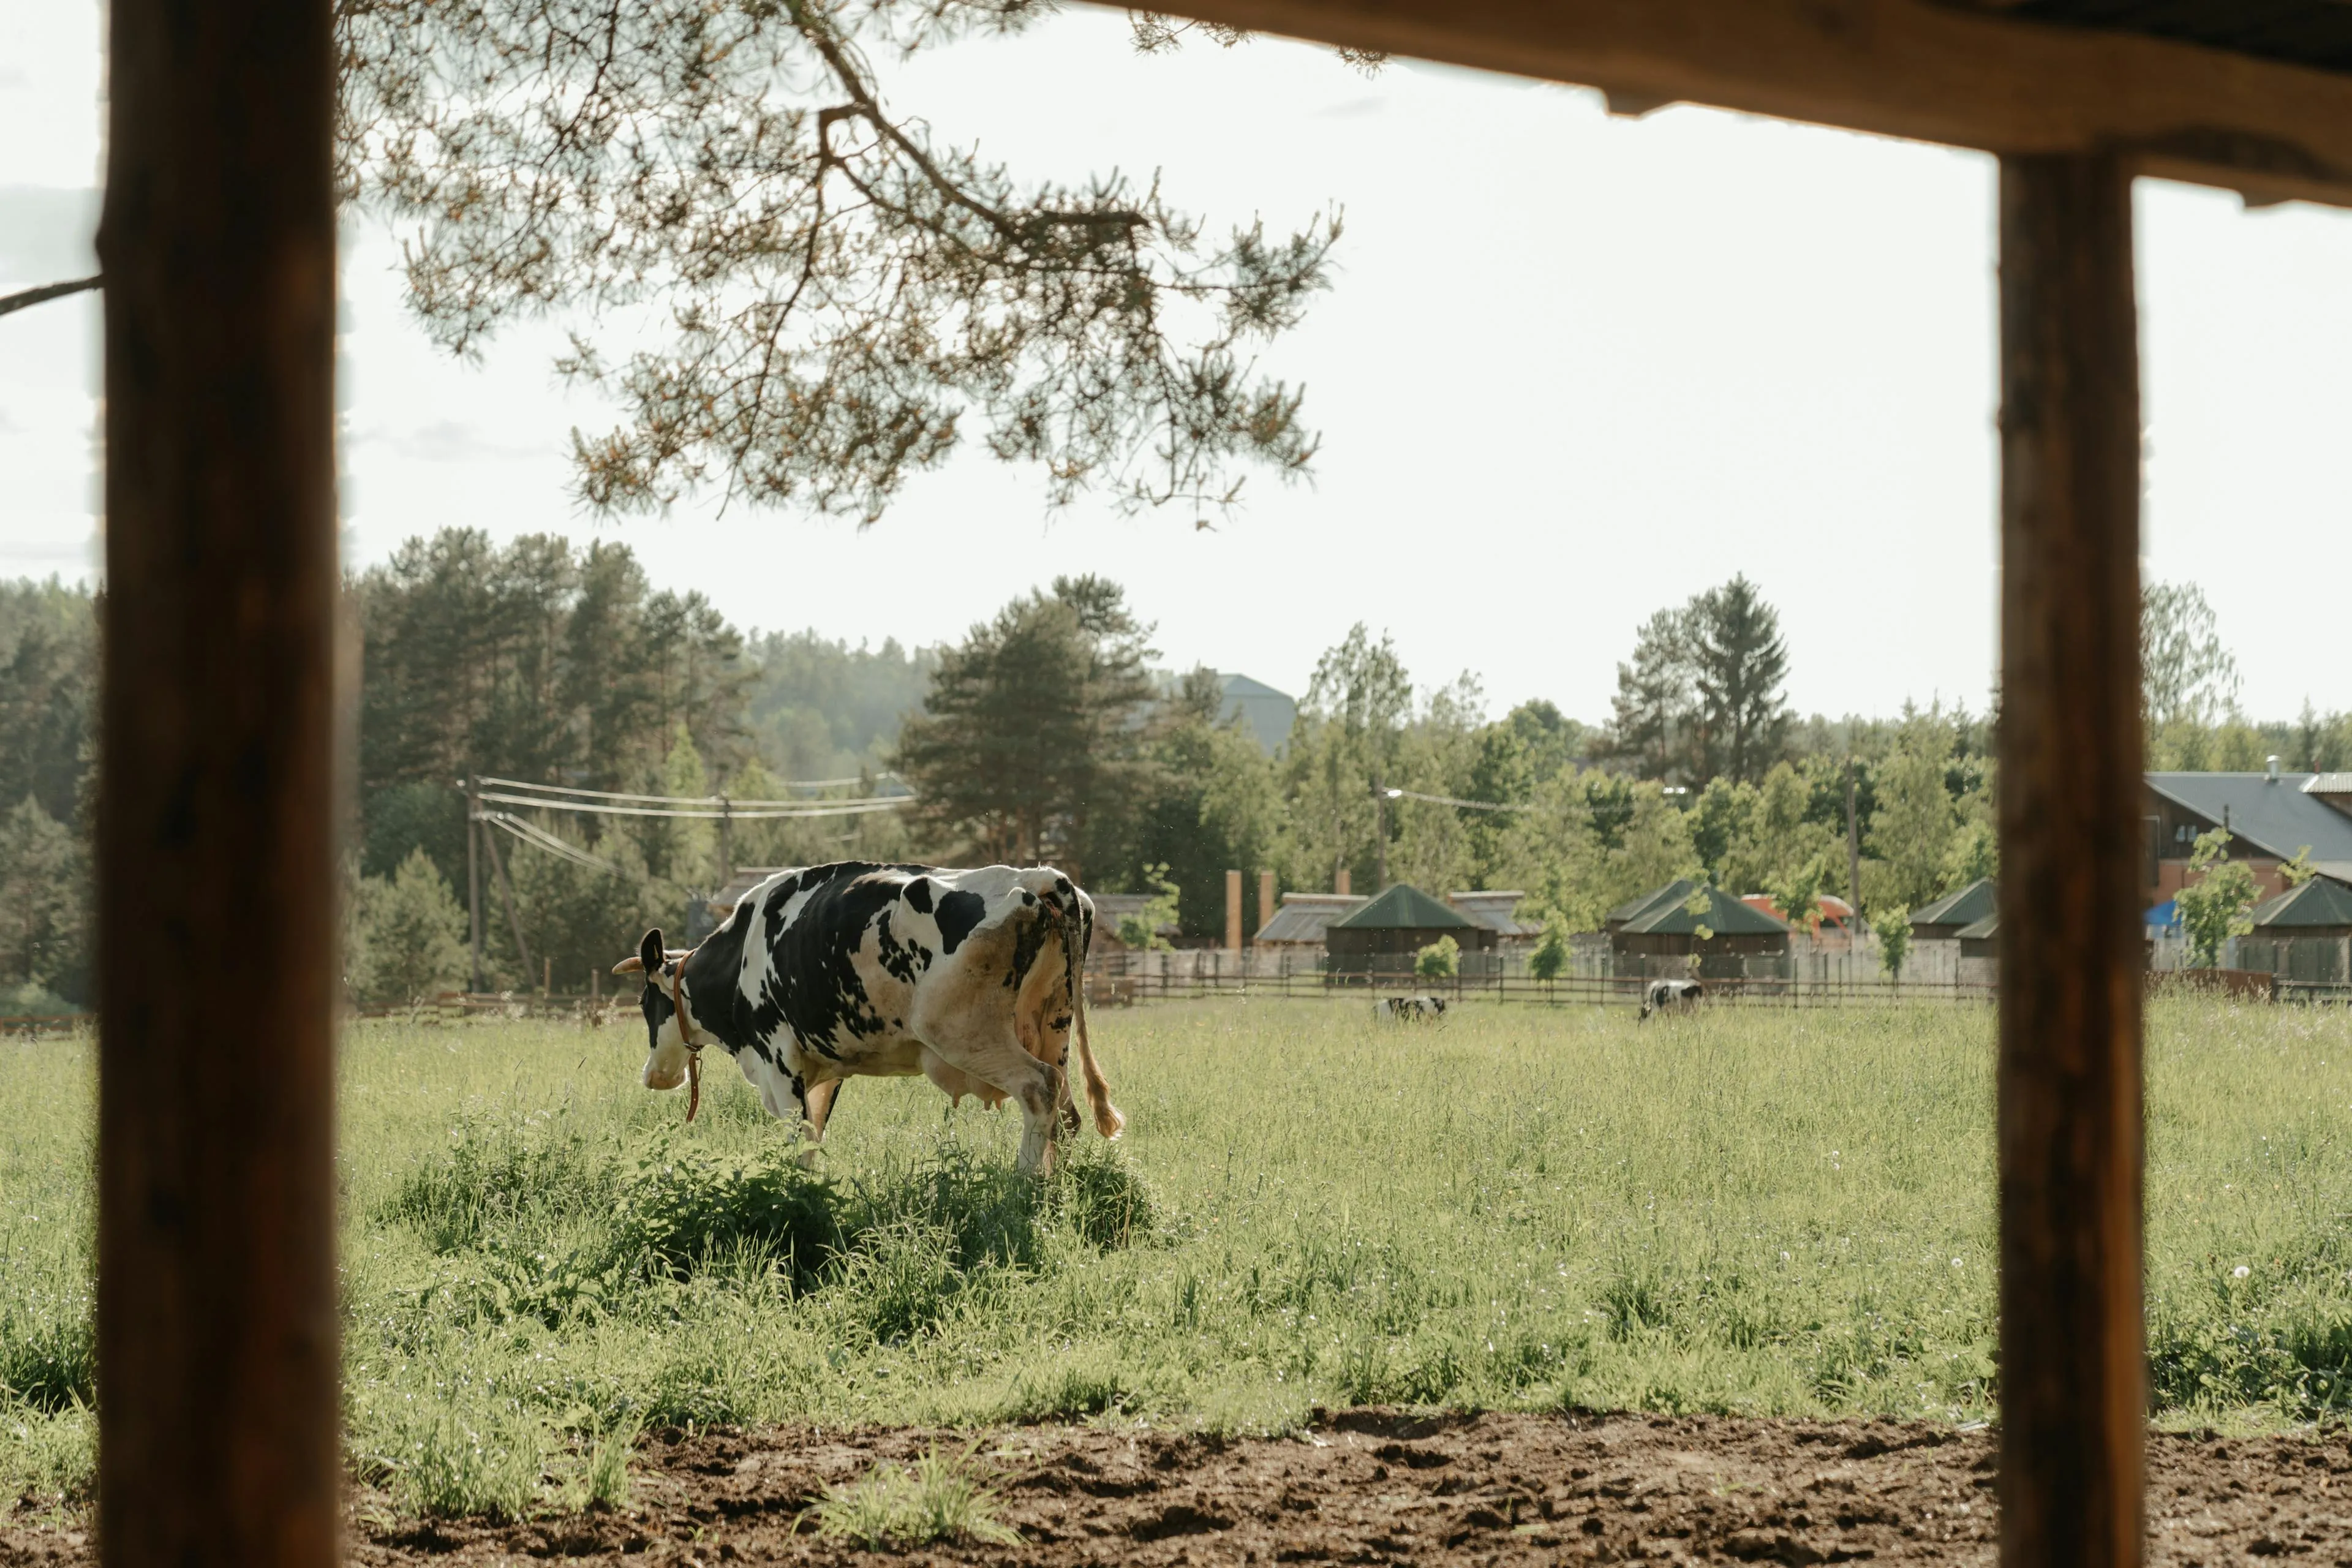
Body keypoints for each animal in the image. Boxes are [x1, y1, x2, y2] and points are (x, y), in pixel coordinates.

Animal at [611, 862, 1121, 1175]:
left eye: (645, 1003)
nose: (654, 1076)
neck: (742, 954)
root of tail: (1036, 877)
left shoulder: (779, 1060)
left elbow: (799, 1142)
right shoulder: (821, 1071)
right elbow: (814, 1138)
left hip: (962, 1033)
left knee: (1039, 1088)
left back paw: (1024, 1183)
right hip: (1051, 1026)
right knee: (1068, 1113)